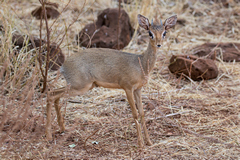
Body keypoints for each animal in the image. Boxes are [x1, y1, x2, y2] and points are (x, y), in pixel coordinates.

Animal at [45, 13, 176, 148]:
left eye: (164, 32)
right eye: (150, 33)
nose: (159, 44)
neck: (141, 64)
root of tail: (63, 66)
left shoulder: (138, 89)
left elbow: (142, 113)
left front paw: (149, 142)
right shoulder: (127, 88)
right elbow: (134, 113)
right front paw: (140, 144)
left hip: (80, 86)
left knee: (55, 95)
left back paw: (62, 128)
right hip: (79, 87)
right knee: (51, 94)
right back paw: (48, 136)